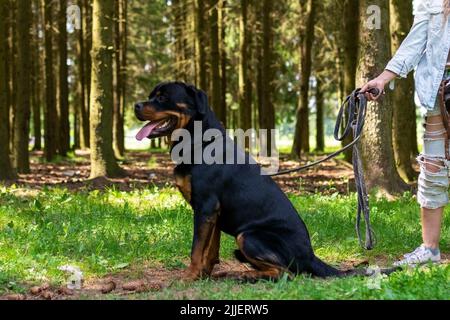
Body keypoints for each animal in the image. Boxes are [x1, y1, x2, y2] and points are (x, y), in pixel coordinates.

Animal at [134, 81, 390, 282]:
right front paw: (204, 275)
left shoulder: (205, 206)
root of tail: (310, 255)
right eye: (151, 95)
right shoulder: (213, 213)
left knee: (287, 273)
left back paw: (247, 275)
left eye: (163, 97)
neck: (198, 142)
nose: (136, 105)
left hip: (248, 236)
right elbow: (211, 249)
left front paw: (189, 276)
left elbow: (197, 249)